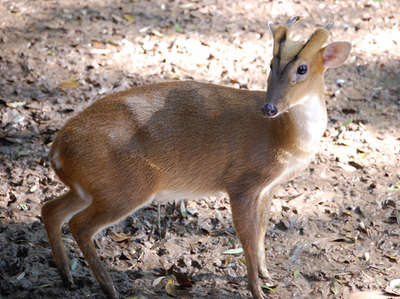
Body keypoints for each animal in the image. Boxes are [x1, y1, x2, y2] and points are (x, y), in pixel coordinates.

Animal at [42, 19, 350, 299]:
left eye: (302, 68)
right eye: (271, 65)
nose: (269, 107)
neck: (283, 136)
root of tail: (57, 150)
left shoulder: (269, 188)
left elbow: (262, 231)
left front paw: (267, 275)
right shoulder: (242, 182)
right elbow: (248, 238)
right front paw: (258, 291)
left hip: (92, 188)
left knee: (50, 209)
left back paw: (67, 277)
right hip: (128, 187)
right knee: (79, 225)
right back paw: (109, 288)